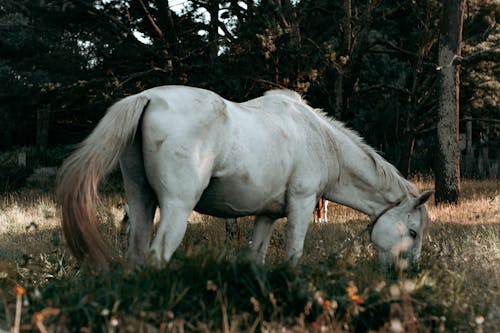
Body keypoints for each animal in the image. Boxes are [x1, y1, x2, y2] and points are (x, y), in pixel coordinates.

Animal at [57, 85, 434, 268]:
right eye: (413, 232)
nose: (410, 272)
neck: (318, 138)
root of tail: (146, 97)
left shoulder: (266, 216)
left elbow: (257, 257)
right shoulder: (301, 206)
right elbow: (293, 256)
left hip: (140, 202)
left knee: (136, 256)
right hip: (177, 208)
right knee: (156, 257)